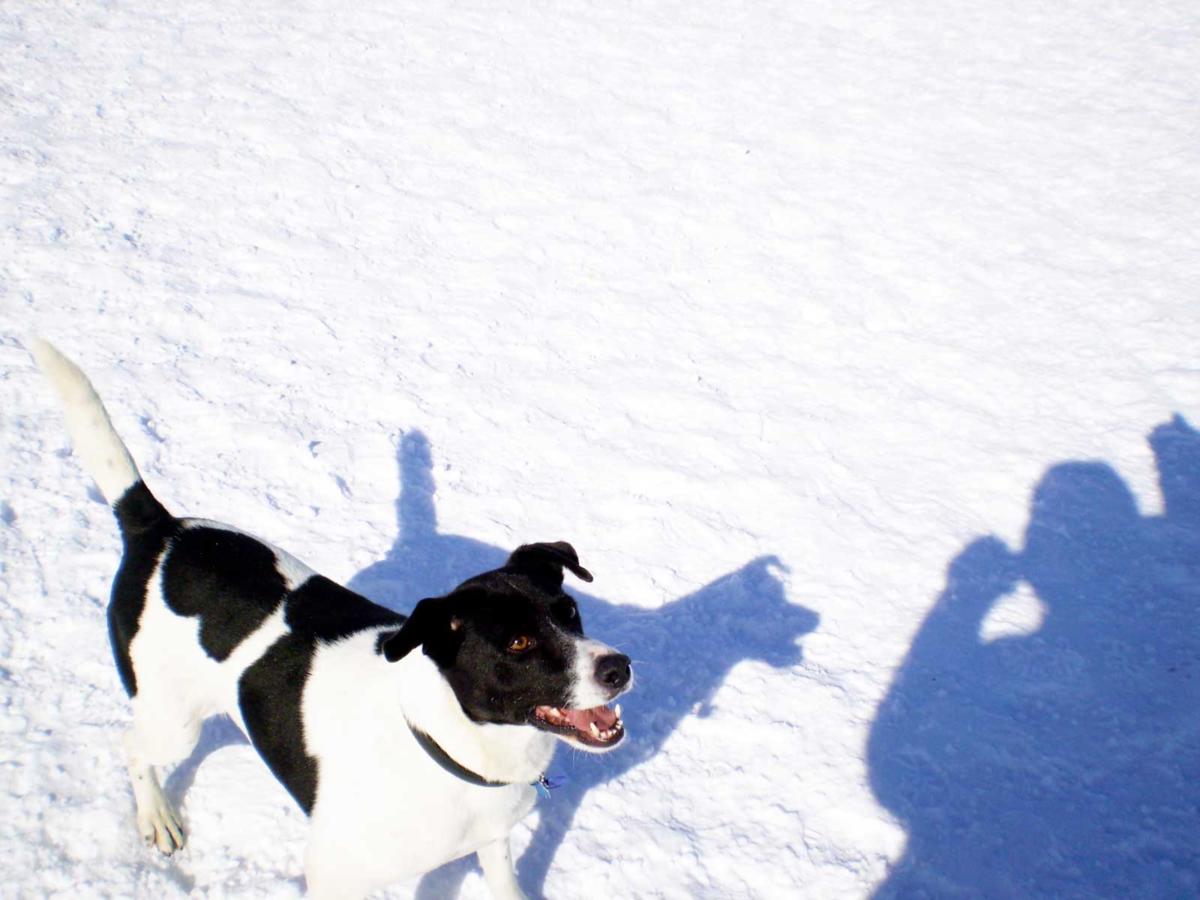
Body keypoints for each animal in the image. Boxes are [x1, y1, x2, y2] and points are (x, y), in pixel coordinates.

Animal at [32, 340, 633, 897]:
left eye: (569, 611)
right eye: (517, 643)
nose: (620, 667)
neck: (443, 743)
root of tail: (159, 529)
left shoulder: (492, 836)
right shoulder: (333, 875)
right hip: (172, 720)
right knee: (132, 748)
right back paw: (156, 815)